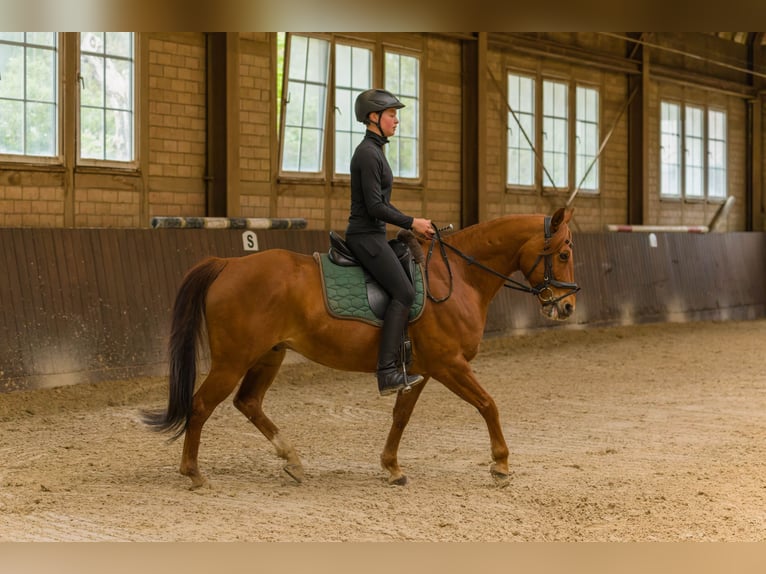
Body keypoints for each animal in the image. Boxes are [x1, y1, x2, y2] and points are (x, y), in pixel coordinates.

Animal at [141, 208, 580, 490]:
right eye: (563, 253)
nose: (567, 307)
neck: (457, 278)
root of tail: (229, 263)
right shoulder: (449, 365)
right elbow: (489, 405)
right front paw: (501, 465)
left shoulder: (421, 370)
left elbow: (401, 417)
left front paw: (391, 468)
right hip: (233, 360)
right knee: (201, 405)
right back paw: (193, 473)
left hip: (269, 355)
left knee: (247, 402)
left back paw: (292, 460)